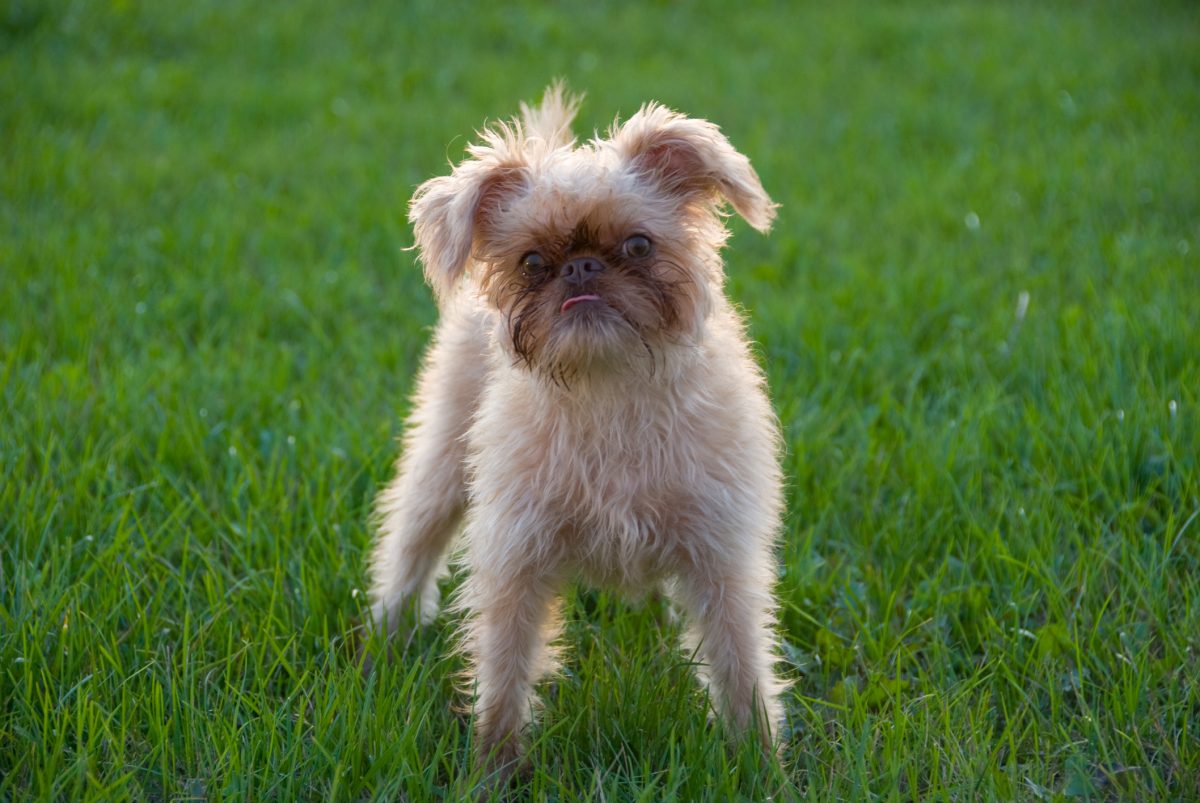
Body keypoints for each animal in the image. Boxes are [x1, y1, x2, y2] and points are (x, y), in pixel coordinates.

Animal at [367, 86, 787, 768]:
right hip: (442, 463)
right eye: (533, 261)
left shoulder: (722, 558)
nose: (582, 268)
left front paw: (760, 763)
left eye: (639, 246)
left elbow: (740, 663)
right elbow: (505, 671)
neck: (607, 388)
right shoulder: (516, 559)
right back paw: (388, 632)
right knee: (412, 541)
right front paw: (494, 767)